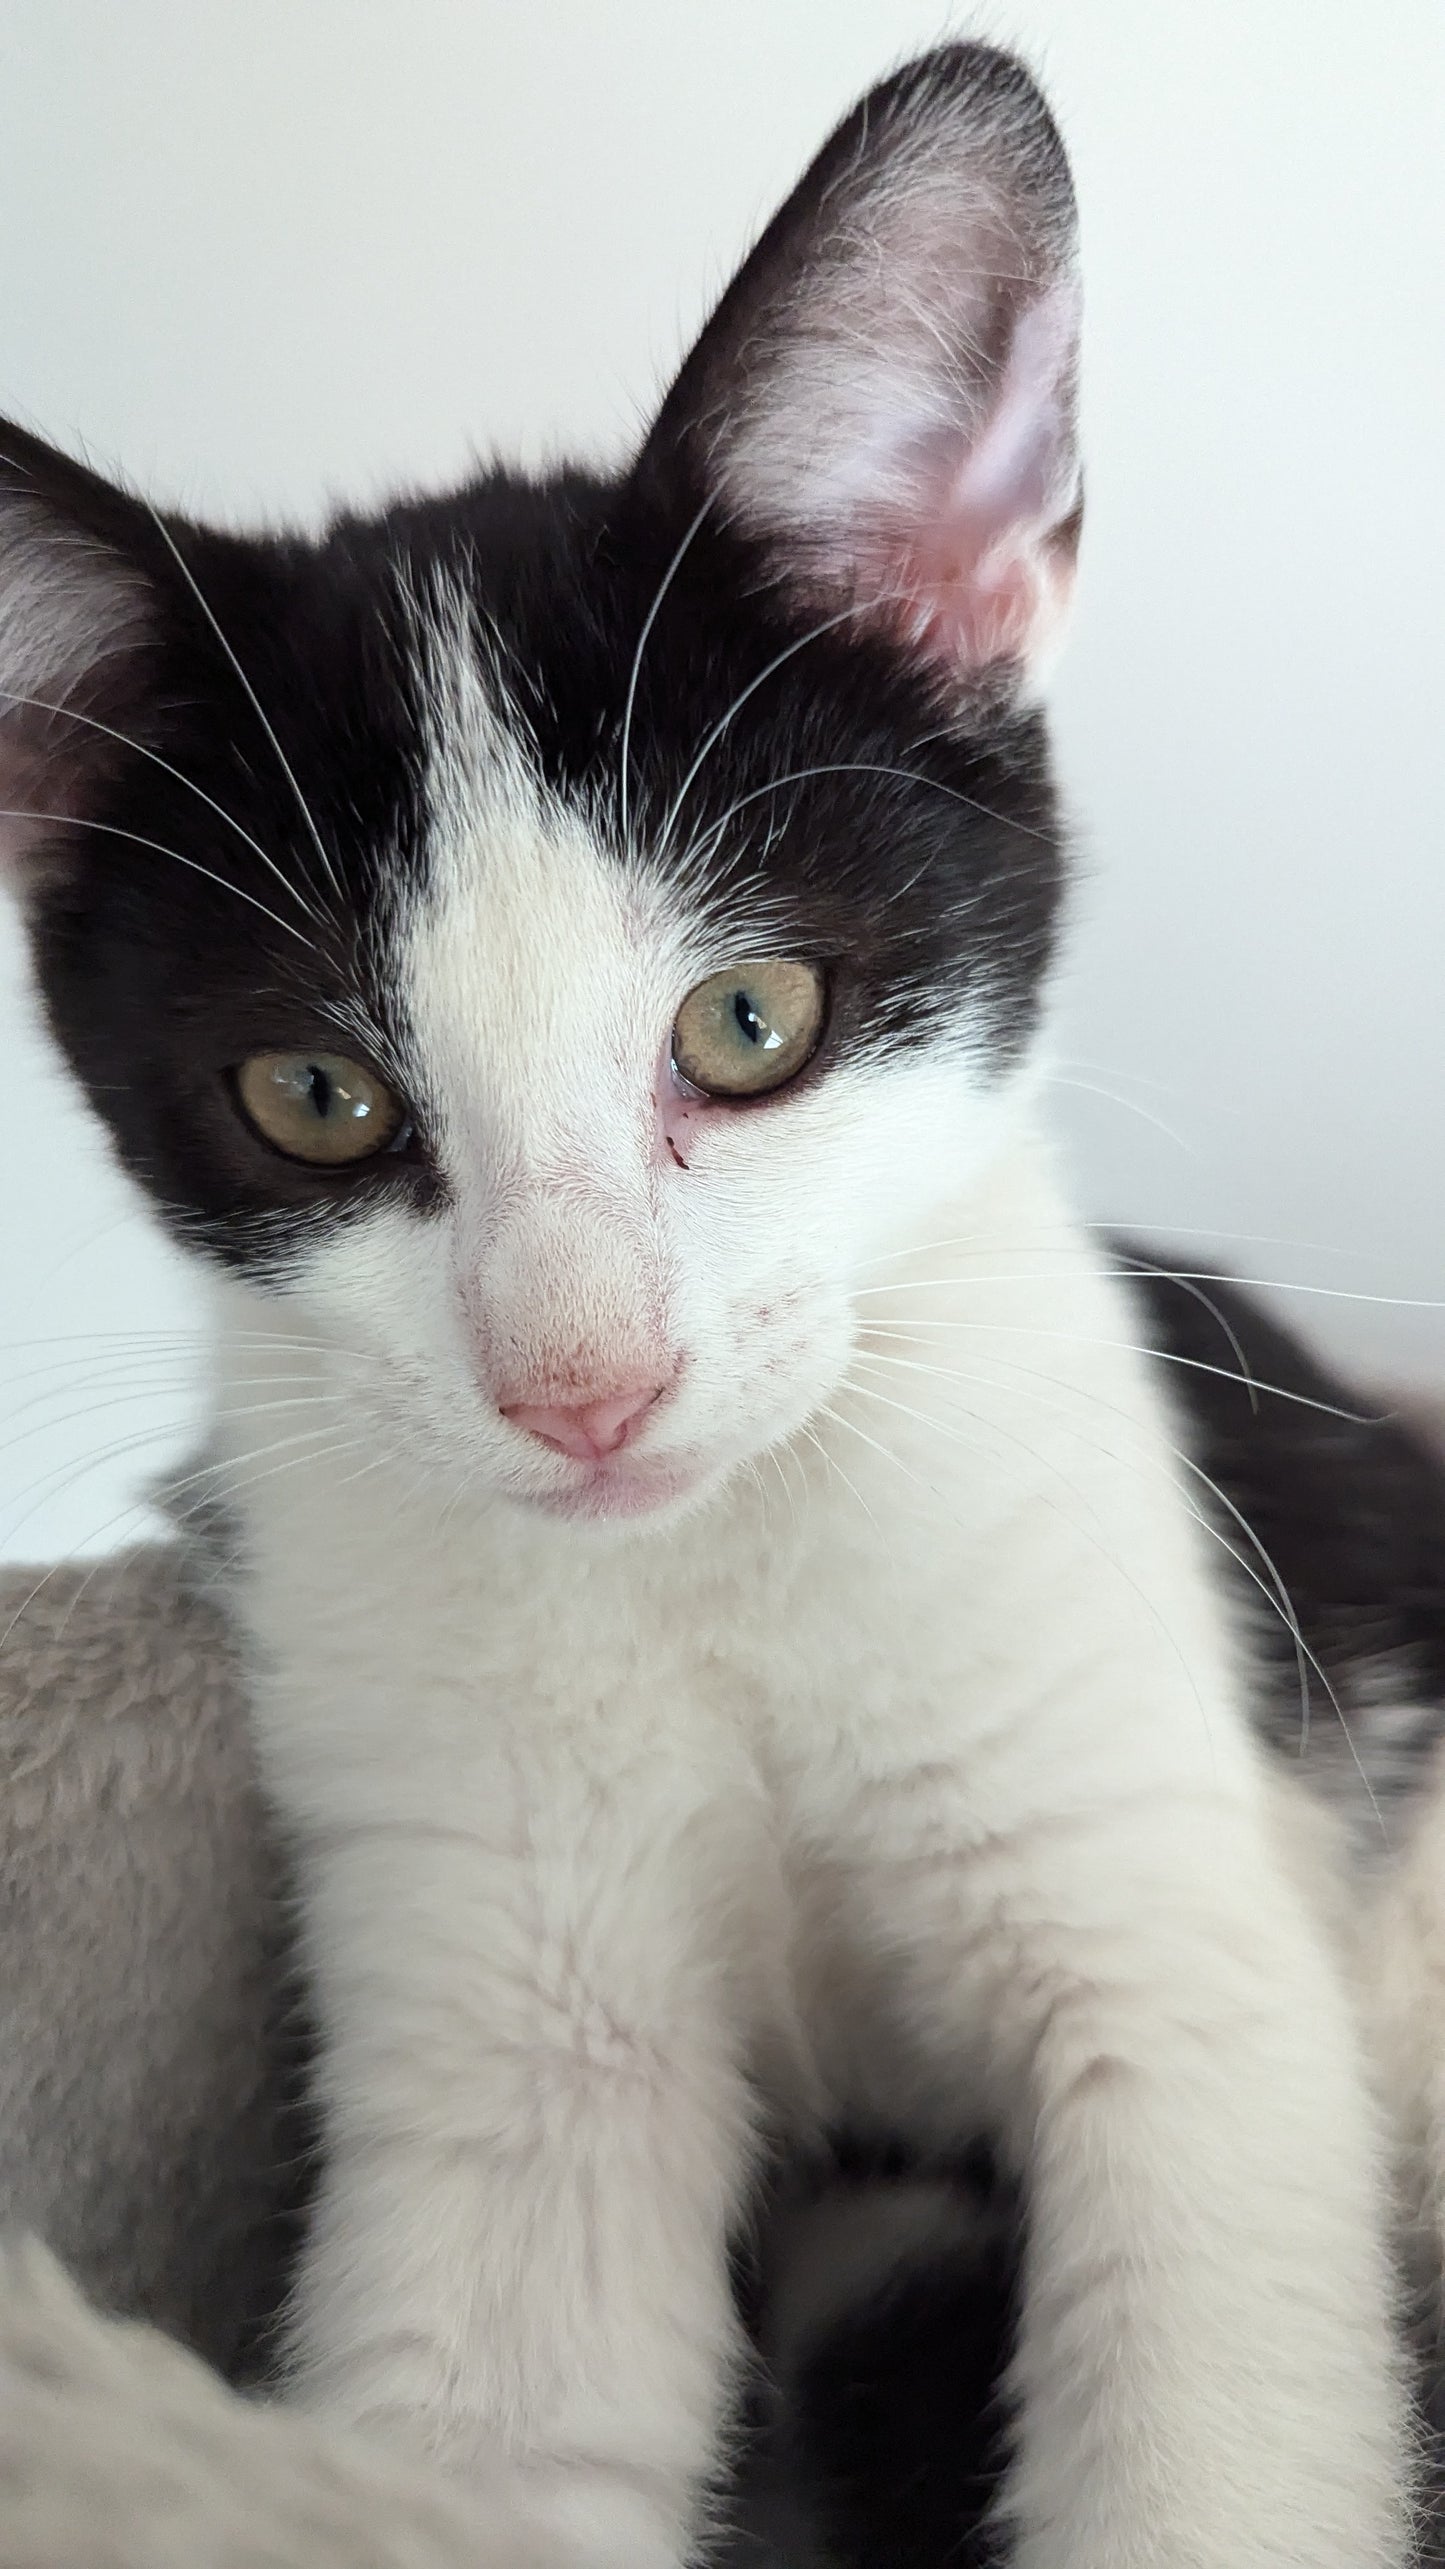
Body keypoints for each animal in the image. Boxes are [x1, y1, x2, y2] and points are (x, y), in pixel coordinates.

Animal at [0, 35, 1419, 2569]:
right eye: (312, 1093)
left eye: (747, 1020)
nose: (584, 1388)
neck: (710, 1572)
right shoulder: (498, 2002)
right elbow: (482, 2422)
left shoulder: (1176, 1905)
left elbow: (1210, 2373)